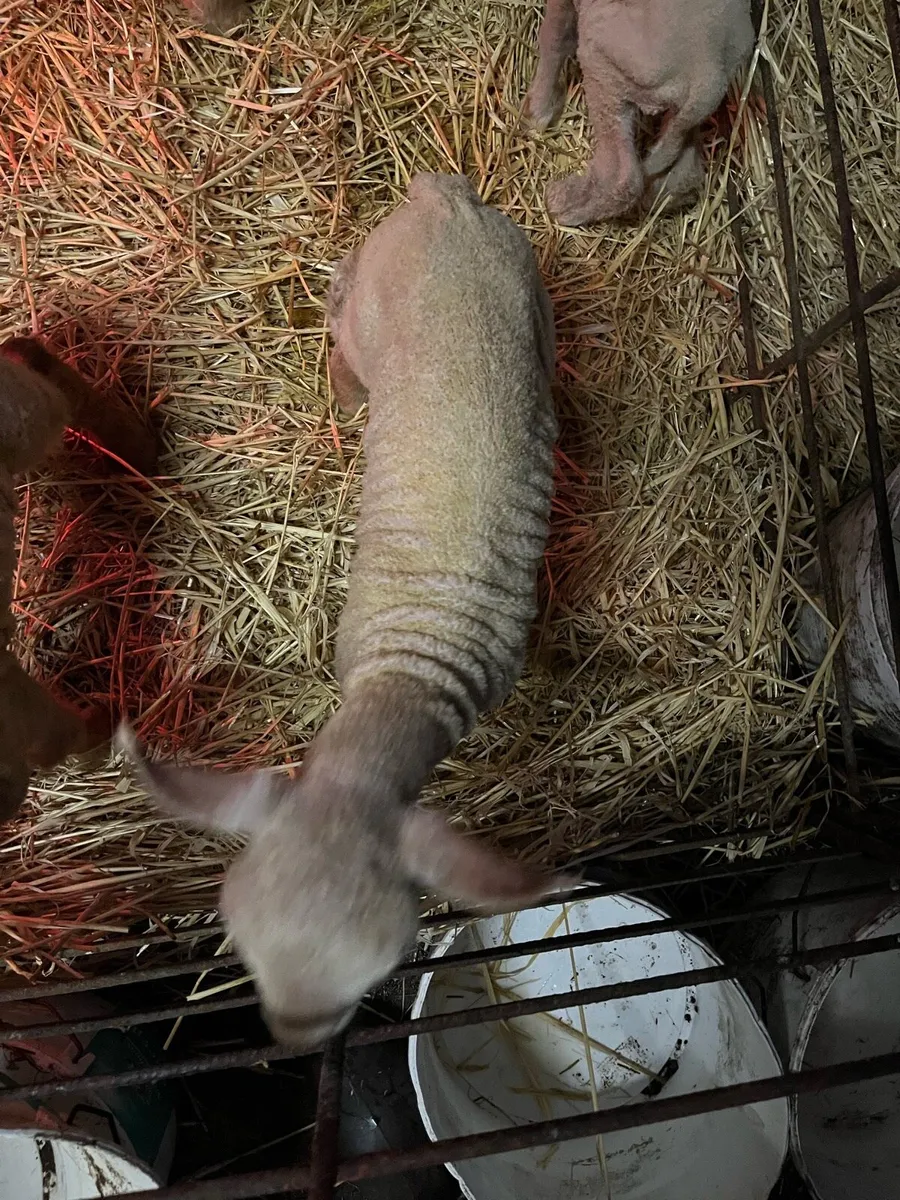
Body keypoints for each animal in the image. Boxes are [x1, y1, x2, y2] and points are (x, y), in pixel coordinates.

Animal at [119, 173, 572, 1054]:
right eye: (240, 944)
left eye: (382, 968)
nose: (295, 1040)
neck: (409, 666)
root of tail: (442, 197)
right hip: (381, 301)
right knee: (343, 331)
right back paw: (347, 388)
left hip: (521, 277)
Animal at [524, 0, 755, 225]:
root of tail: (708, 78)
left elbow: (554, 34)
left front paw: (538, 110)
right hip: (685, 111)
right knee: (684, 173)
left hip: (604, 59)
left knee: (621, 178)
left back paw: (560, 204)